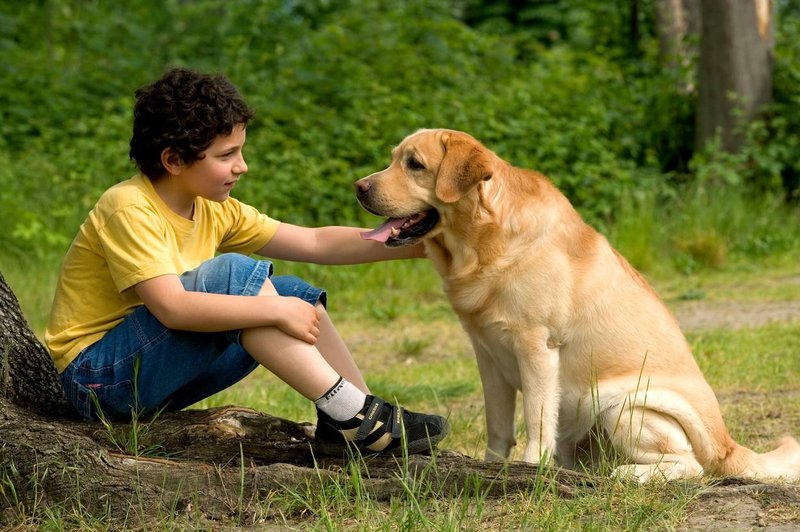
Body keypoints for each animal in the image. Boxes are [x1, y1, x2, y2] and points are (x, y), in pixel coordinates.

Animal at [356, 129, 800, 482]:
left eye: (414, 164)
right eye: (393, 159)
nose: (360, 186)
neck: (482, 244)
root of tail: (728, 444)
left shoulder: (536, 347)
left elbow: (536, 419)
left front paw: (530, 468)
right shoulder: (487, 356)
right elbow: (498, 426)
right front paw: (492, 466)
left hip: (622, 405)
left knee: (690, 465)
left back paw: (629, 474)